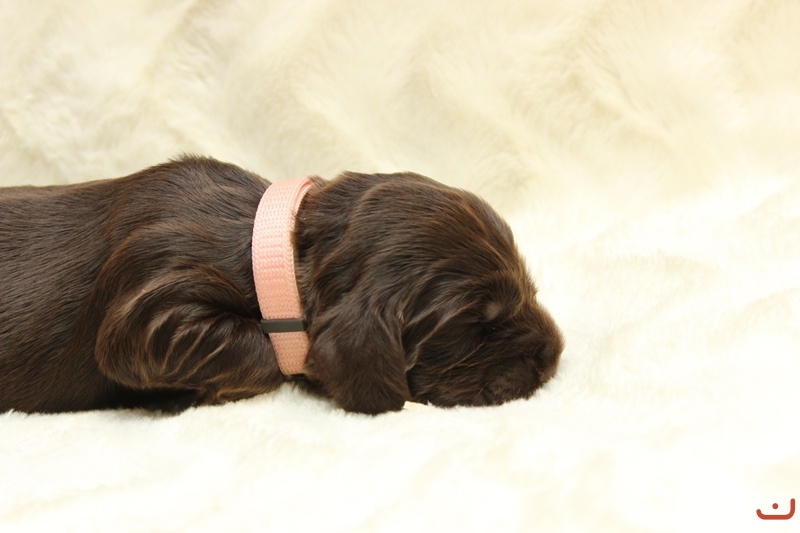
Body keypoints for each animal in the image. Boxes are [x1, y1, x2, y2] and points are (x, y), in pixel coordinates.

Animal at [0, 156, 563, 414]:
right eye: (473, 327)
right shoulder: (151, 303)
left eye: (527, 284)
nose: (555, 353)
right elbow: (262, 350)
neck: (273, 247)